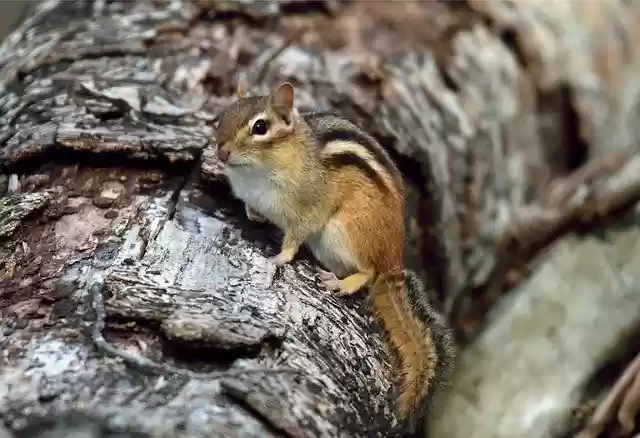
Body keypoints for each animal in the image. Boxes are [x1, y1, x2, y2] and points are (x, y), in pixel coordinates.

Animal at [213, 79, 455, 431]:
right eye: (223, 116)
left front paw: (279, 258)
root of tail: (393, 262)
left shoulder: (309, 208)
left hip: (344, 232)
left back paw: (343, 283)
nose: (221, 152)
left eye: (260, 127)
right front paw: (252, 215)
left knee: (369, 272)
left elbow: (294, 237)